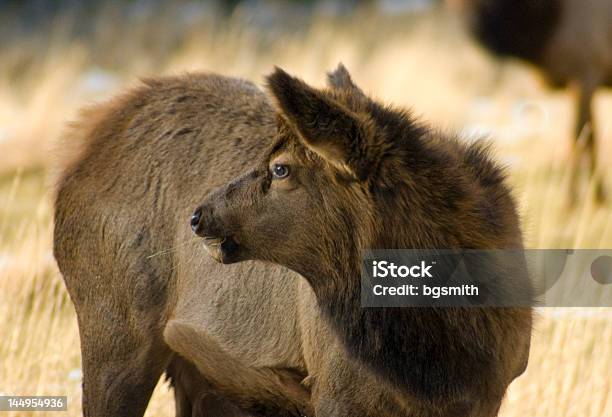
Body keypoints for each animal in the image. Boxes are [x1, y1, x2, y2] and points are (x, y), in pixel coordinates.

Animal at [53, 65, 532, 416]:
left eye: (280, 168)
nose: (198, 215)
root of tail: (81, 144)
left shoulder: (490, 392)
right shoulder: (336, 390)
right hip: (115, 327)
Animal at [450, 0, 612, 202]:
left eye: (486, 4)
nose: (470, 23)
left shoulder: (585, 76)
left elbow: (581, 138)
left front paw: (575, 199)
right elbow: (588, 137)